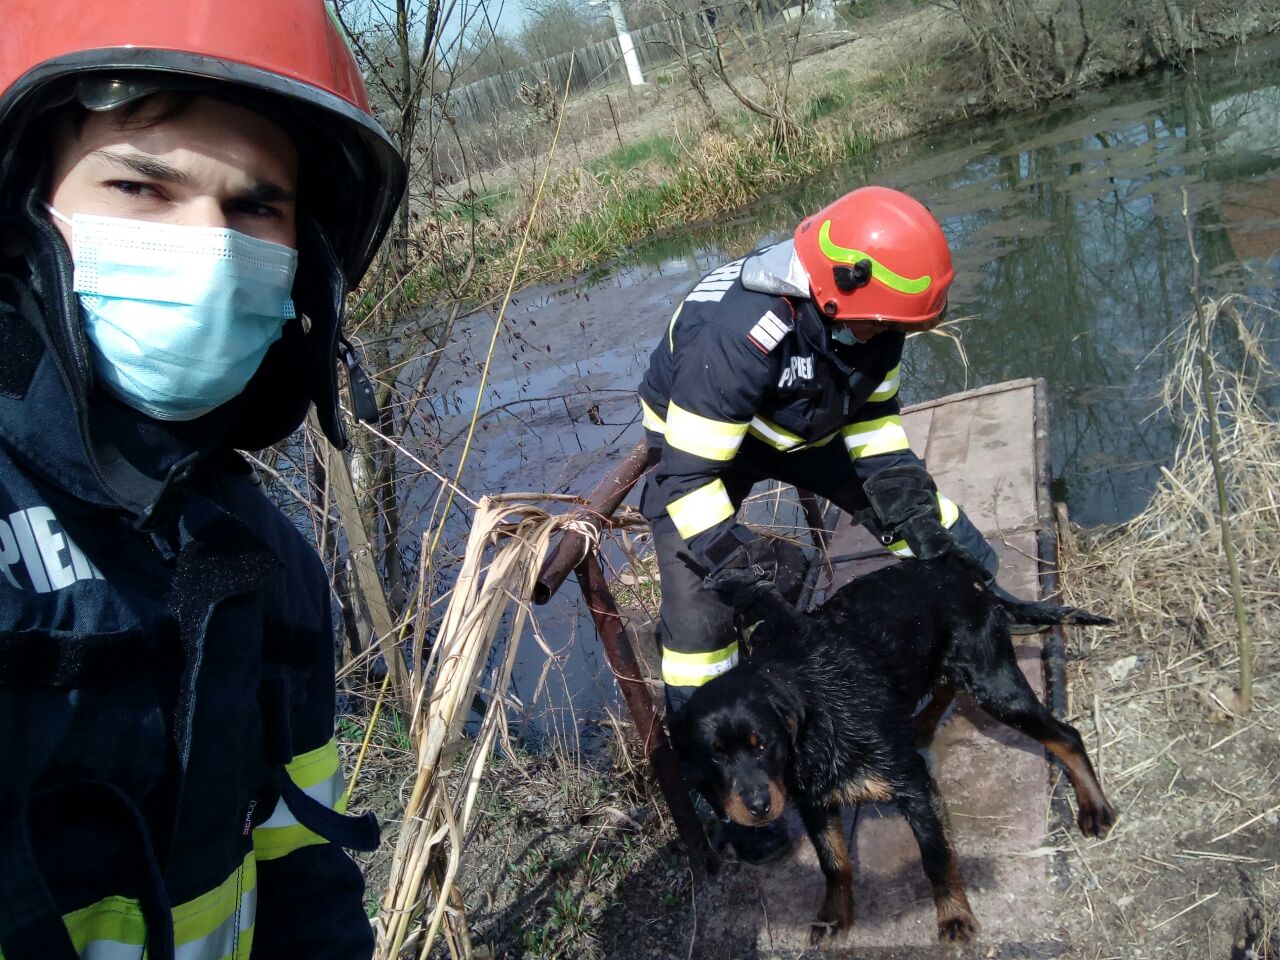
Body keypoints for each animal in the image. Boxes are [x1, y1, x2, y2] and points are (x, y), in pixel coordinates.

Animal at [675, 560, 1116, 942]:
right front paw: (834, 917)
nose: (758, 807)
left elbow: (935, 855)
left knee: (1066, 735)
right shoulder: (812, 802)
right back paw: (919, 724)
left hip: (993, 682)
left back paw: (1095, 808)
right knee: (946, 683)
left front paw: (954, 916)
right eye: (714, 757)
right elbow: (834, 862)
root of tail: (957, 569)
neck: (815, 714)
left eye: (764, 745)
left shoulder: (912, 783)